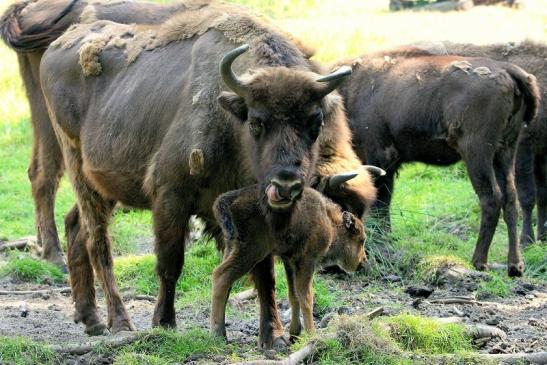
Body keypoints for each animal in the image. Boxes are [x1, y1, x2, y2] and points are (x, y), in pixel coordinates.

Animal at [212, 185, 366, 342]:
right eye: (361, 239)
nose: (362, 261)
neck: (328, 221)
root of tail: (230, 199)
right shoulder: (307, 262)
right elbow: (306, 297)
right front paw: (312, 333)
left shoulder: (290, 262)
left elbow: (294, 296)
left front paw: (294, 333)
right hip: (251, 251)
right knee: (220, 276)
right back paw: (217, 334)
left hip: (232, 247)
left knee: (225, 282)